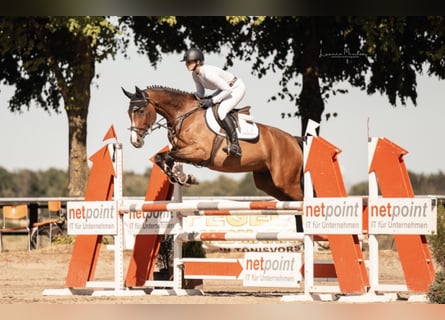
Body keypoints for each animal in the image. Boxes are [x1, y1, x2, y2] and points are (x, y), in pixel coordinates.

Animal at [122, 85, 306, 230]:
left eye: (140, 111)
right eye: (129, 113)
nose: (135, 141)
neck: (184, 115)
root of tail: (293, 140)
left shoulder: (199, 152)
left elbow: (168, 157)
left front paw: (183, 177)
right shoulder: (184, 152)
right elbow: (161, 157)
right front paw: (182, 177)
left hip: (286, 181)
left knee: (302, 200)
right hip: (269, 183)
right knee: (294, 206)